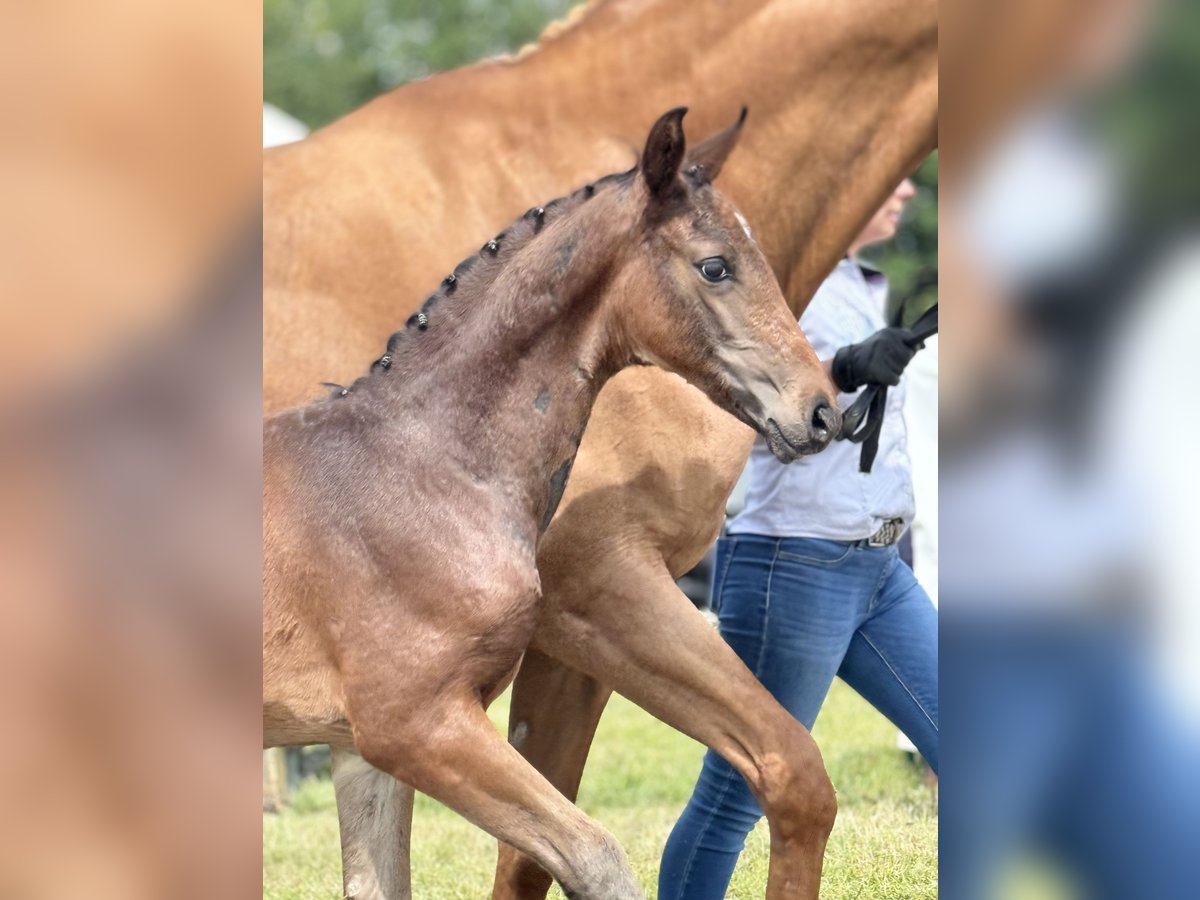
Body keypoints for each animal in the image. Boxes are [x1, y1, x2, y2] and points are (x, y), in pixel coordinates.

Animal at [264, 2, 937, 897]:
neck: (425, 463)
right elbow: (606, 851)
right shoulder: (445, 700)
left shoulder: (371, 747)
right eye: (715, 266)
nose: (824, 411)